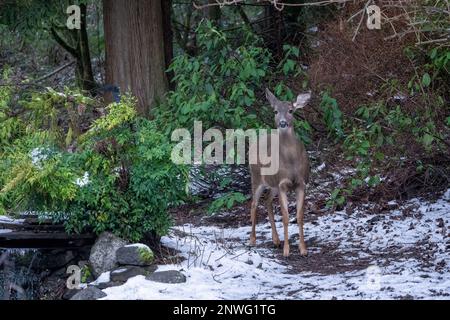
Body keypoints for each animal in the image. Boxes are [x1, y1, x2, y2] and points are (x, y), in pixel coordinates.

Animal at [248, 88, 312, 258]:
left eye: (291, 110)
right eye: (275, 111)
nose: (282, 122)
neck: (291, 162)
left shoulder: (301, 183)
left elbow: (299, 216)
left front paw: (303, 249)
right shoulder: (283, 184)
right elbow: (285, 216)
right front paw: (287, 251)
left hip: (273, 185)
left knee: (267, 200)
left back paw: (276, 240)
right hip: (256, 177)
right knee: (254, 204)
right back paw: (252, 240)